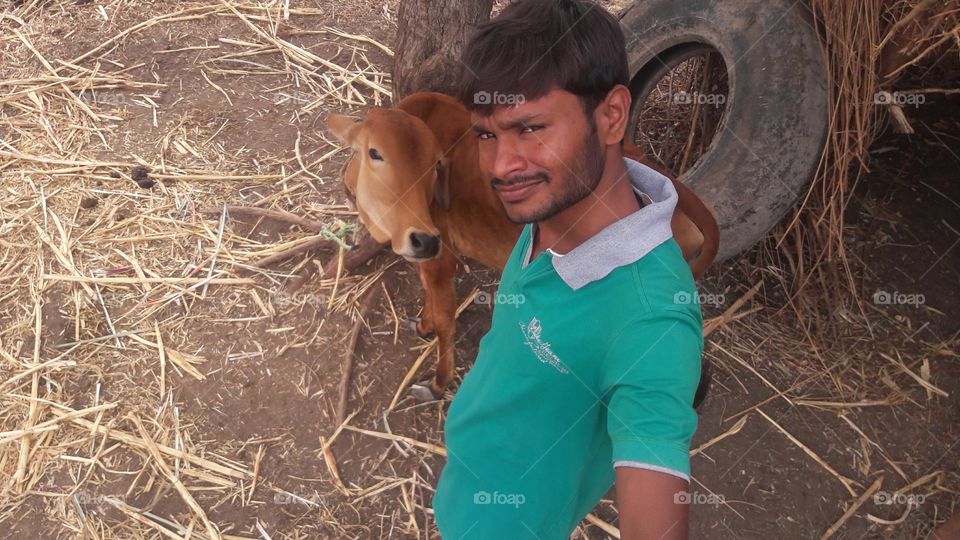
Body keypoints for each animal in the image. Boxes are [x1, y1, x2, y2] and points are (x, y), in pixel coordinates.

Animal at [327, 91, 719, 402]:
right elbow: (430, 304)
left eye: (436, 165)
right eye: (374, 152)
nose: (423, 238)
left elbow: (445, 320)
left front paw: (438, 384)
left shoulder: (442, 259)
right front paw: (421, 325)